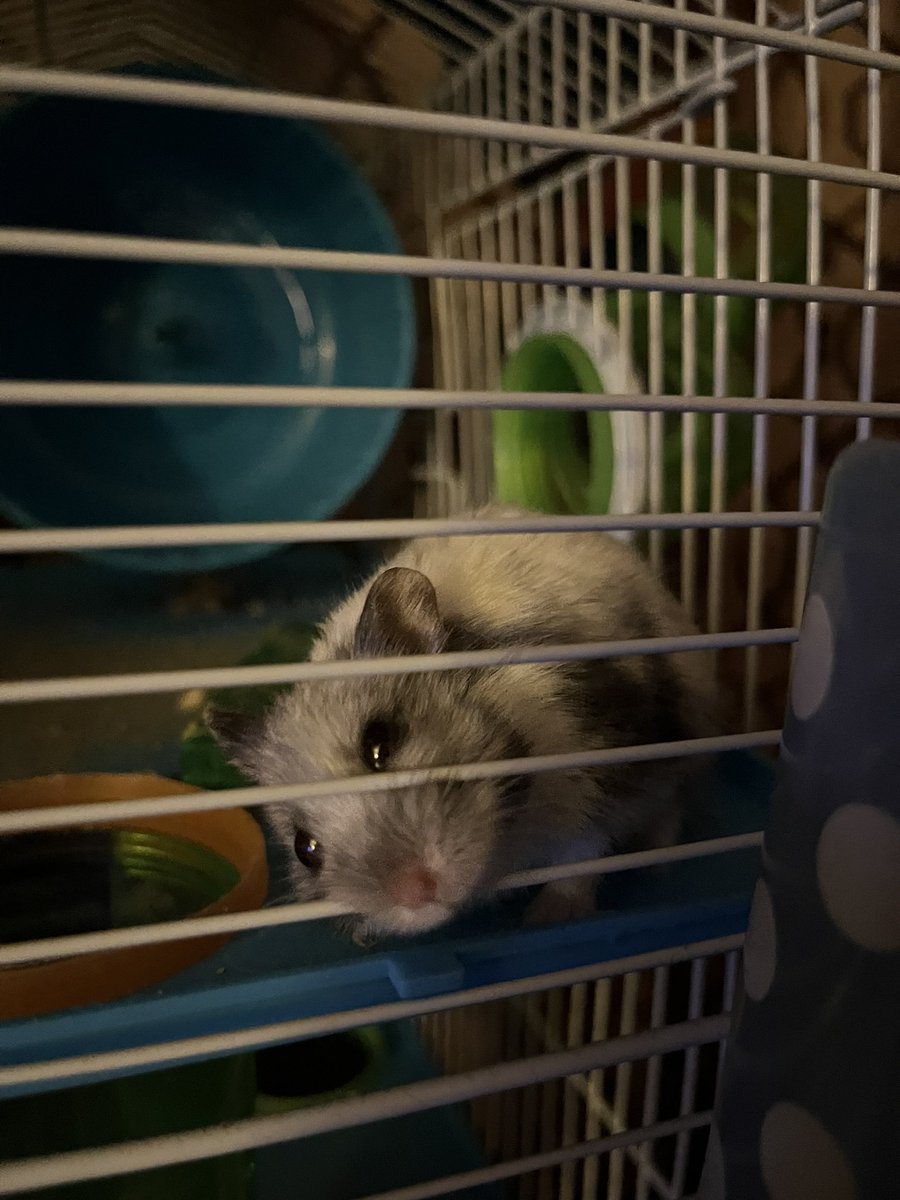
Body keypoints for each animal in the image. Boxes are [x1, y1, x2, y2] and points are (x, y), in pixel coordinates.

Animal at [209, 508, 718, 940]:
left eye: (380, 744)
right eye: (304, 848)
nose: (415, 894)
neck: (511, 829)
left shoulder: (607, 763)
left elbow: (582, 852)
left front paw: (547, 919)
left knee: (670, 806)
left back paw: (656, 863)